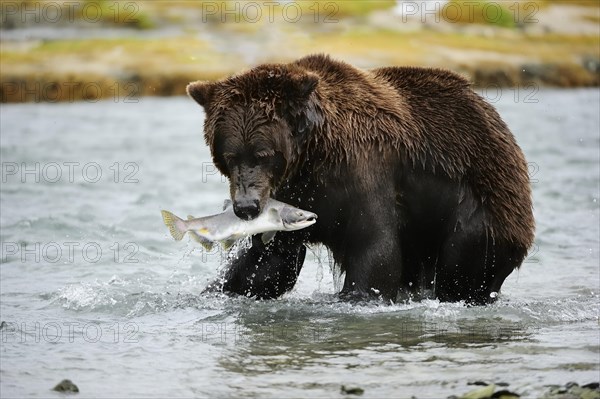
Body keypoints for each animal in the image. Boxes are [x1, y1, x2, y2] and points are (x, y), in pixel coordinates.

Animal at [188, 54, 536, 304]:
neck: (312, 156)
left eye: (262, 154)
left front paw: (357, 296)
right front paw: (218, 289)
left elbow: (375, 248)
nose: (246, 207)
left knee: (463, 267)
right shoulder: (293, 194)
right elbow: (270, 262)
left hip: (480, 207)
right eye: (229, 156)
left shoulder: (363, 169)